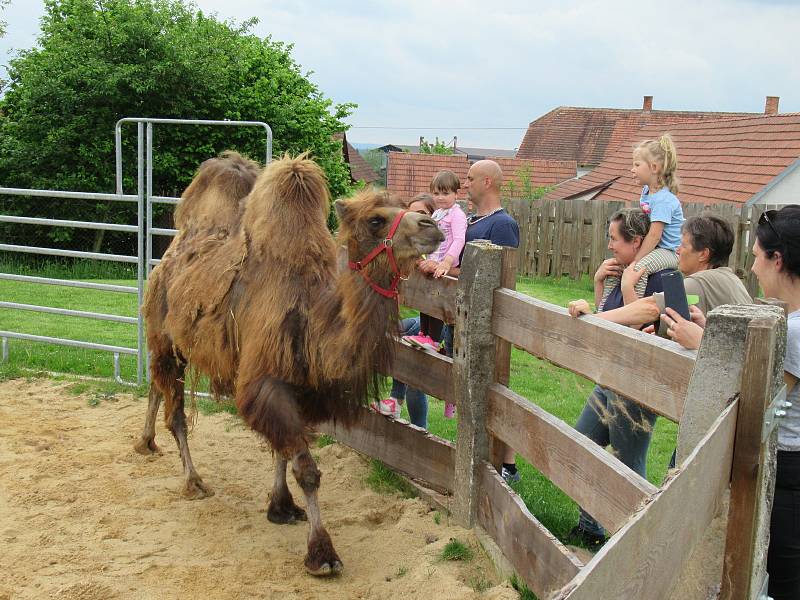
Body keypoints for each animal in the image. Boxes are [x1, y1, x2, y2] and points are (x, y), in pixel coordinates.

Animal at [134, 152, 440, 576]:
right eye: (375, 220)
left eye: (408, 207)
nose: (434, 226)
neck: (312, 321)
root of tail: (168, 256)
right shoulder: (265, 381)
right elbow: (307, 470)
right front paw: (322, 553)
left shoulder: (298, 387)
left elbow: (281, 449)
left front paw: (280, 507)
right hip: (164, 333)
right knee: (175, 409)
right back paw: (194, 481)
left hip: (172, 342)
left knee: (155, 385)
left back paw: (145, 443)